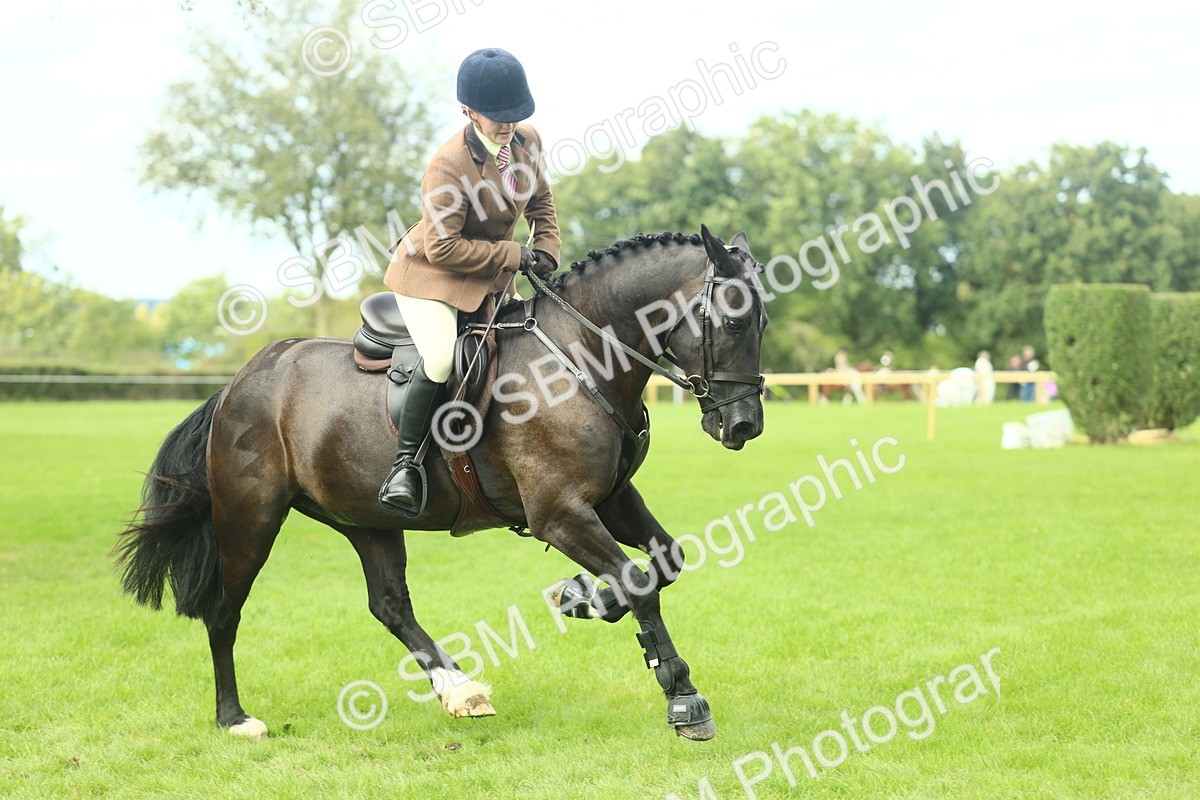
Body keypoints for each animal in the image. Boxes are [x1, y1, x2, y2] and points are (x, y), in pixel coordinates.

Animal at [115, 226, 768, 742]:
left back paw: (458, 690)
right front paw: (683, 699)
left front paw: (582, 597)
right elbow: (640, 582)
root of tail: (240, 381)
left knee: (390, 605)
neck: (581, 358)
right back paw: (235, 718)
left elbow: (664, 563)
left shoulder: (610, 498)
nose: (743, 425)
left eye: (763, 320)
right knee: (225, 612)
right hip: (250, 518)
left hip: (366, 519)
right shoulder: (559, 513)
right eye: (735, 318)